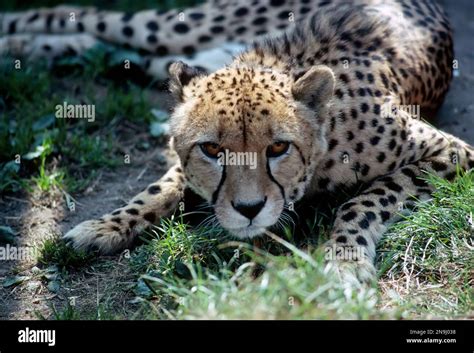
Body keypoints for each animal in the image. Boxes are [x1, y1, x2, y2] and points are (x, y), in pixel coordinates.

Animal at [1, 0, 472, 282]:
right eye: (212, 149)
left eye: (279, 148)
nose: (249, 209)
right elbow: (159, 188)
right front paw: (107, 225)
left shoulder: (455, 154)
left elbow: (366, 198)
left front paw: (345, 258)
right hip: (183, 30)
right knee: (80, 15)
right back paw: (16, 37)